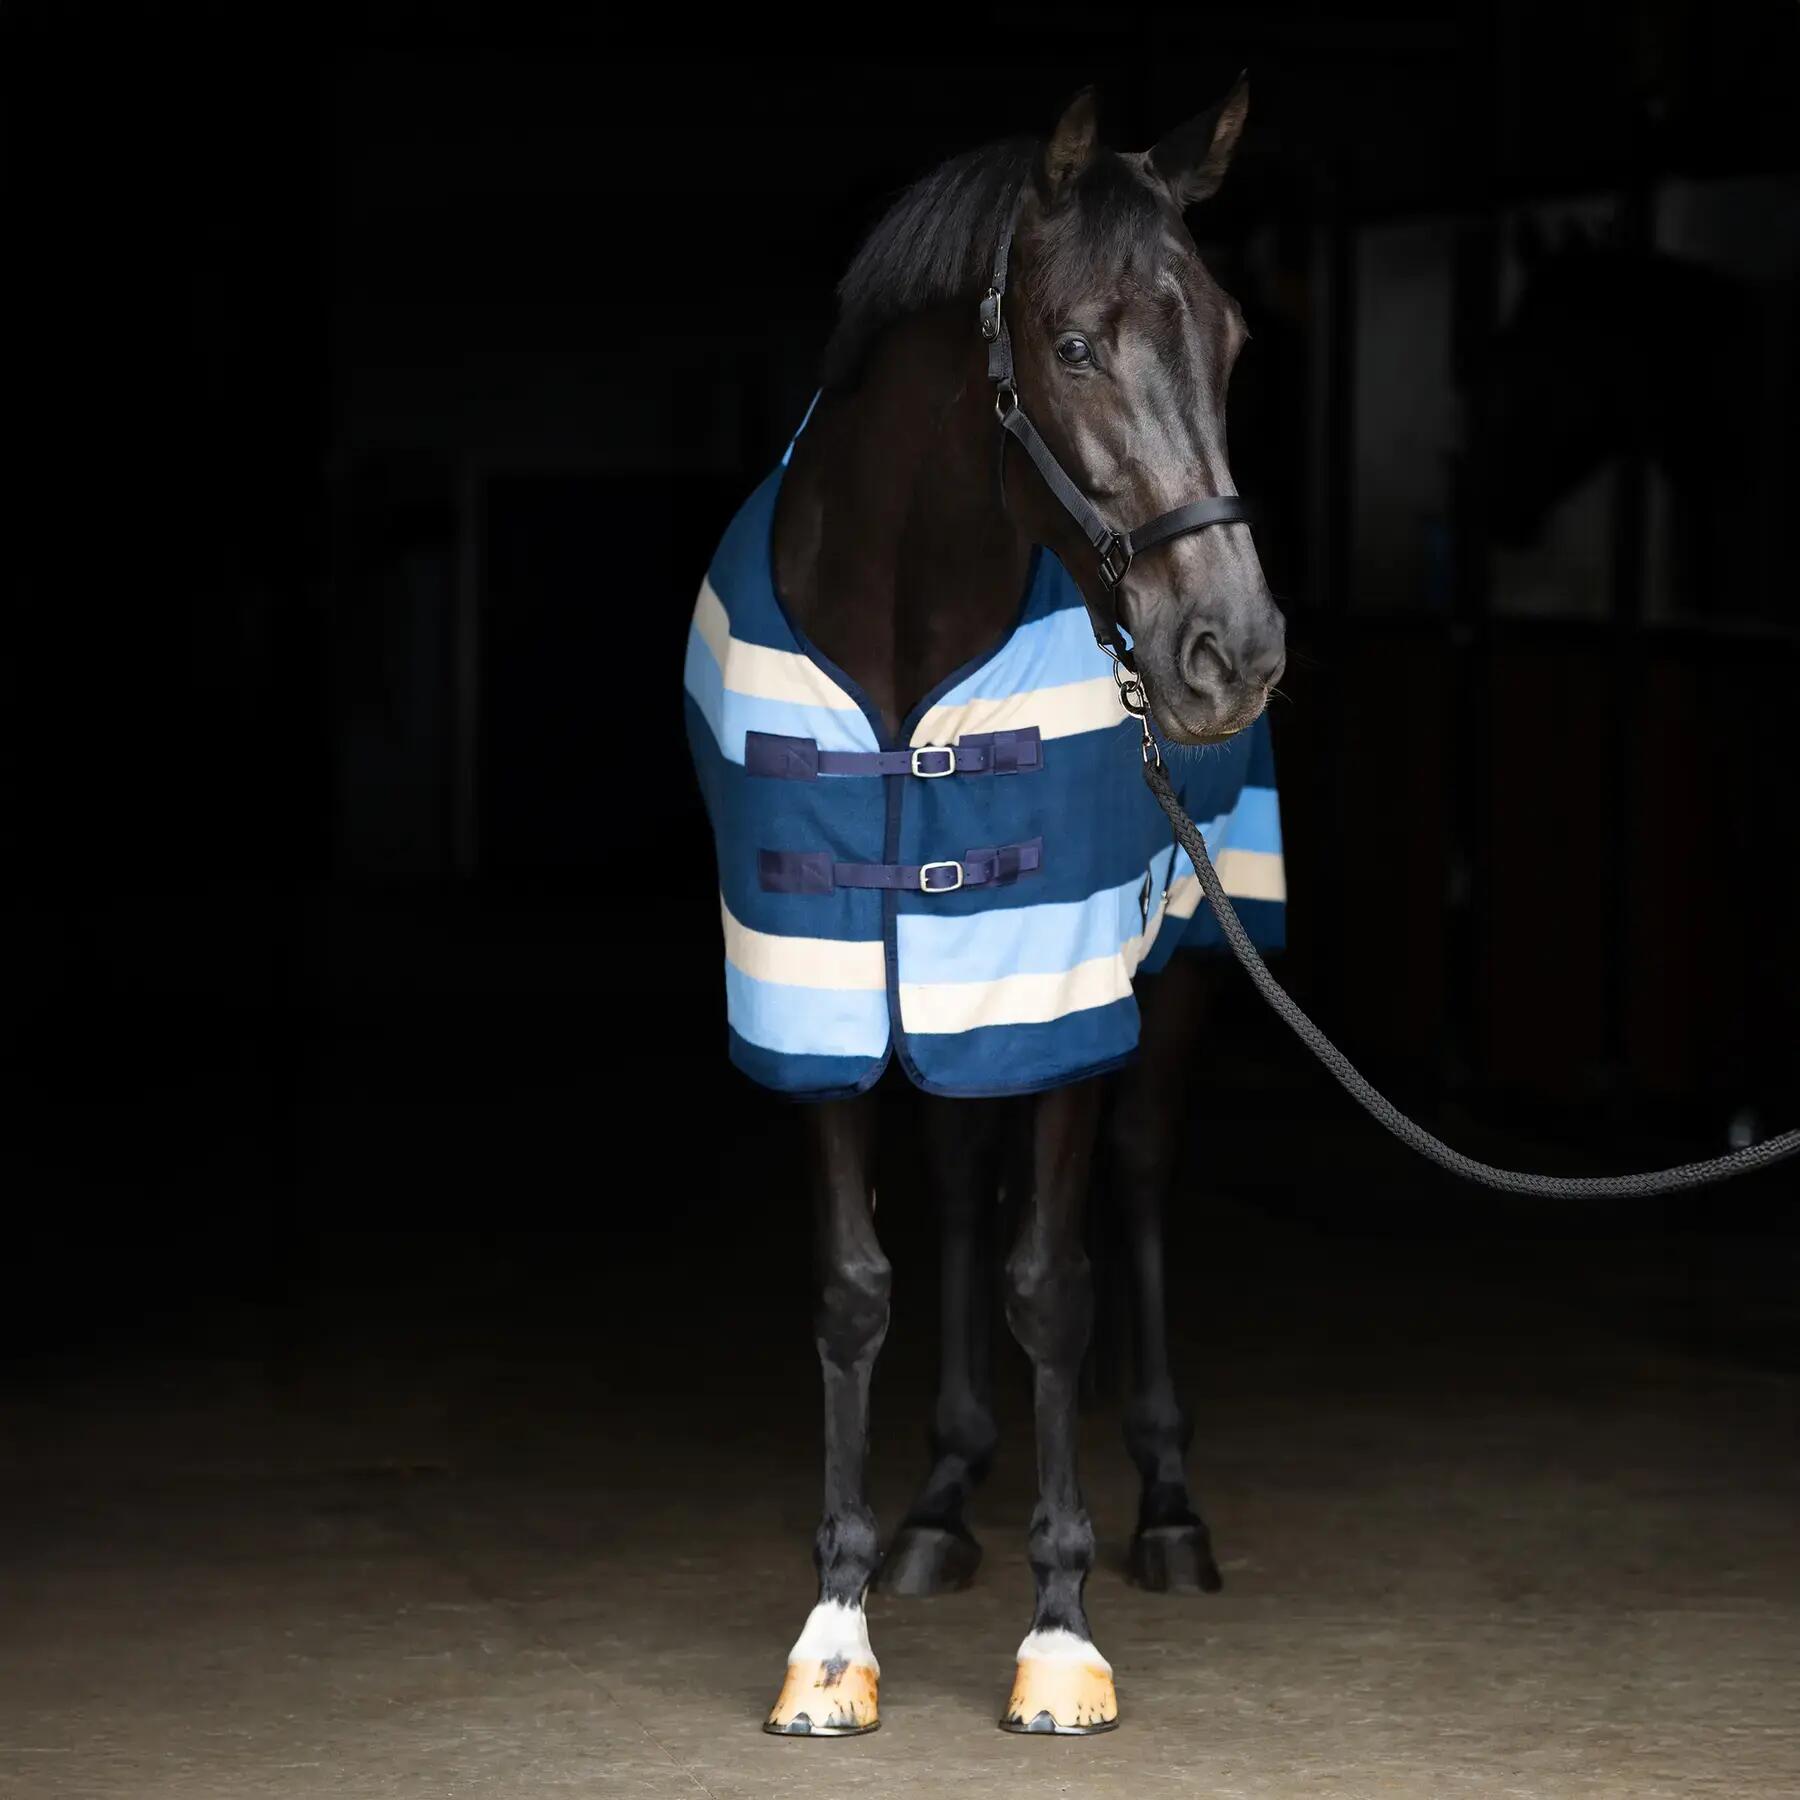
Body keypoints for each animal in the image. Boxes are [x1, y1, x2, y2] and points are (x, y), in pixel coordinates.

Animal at [683, 80, 1286, 1736]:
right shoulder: (820, 986)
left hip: (1183, 963)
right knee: (958, 1180)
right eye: (1074, 344)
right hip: (940, 996)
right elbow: (856, 1286)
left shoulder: (1062, 980)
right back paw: (944, 1504)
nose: (1233, 650)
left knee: (1135, 1187)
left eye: (1231, 340)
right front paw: (831, 1633)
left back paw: (1169, 1510)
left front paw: (1063, 1633)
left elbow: (1051, 1285)